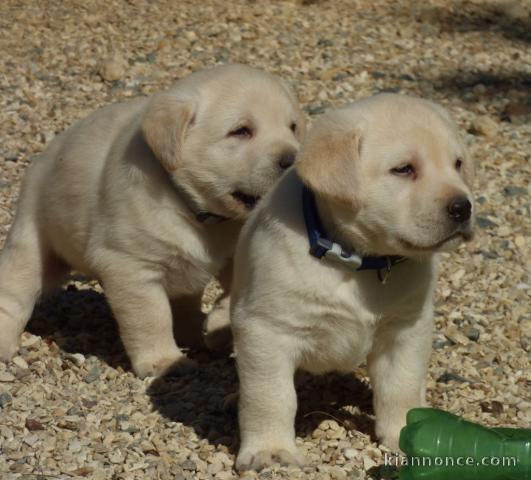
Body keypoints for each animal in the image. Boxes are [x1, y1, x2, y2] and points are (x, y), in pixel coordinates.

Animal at [0, 64, 306, 378]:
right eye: (241, 131)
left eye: (293, 127)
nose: (292, 159)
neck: (196, 211)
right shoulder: (131, 266)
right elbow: (151, 317)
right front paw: (163, 361)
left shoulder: (236, 251)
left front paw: (219, 321)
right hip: (33, 235)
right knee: (15, 291)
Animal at [231, 94, 476, 472]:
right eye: (404, 169)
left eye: (458, 164)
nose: (463, 207)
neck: (358, 261)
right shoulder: (265, 330)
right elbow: (271, 395)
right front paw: (270, 450)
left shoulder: (406, 329)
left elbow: (400, 387)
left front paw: (403, 437)